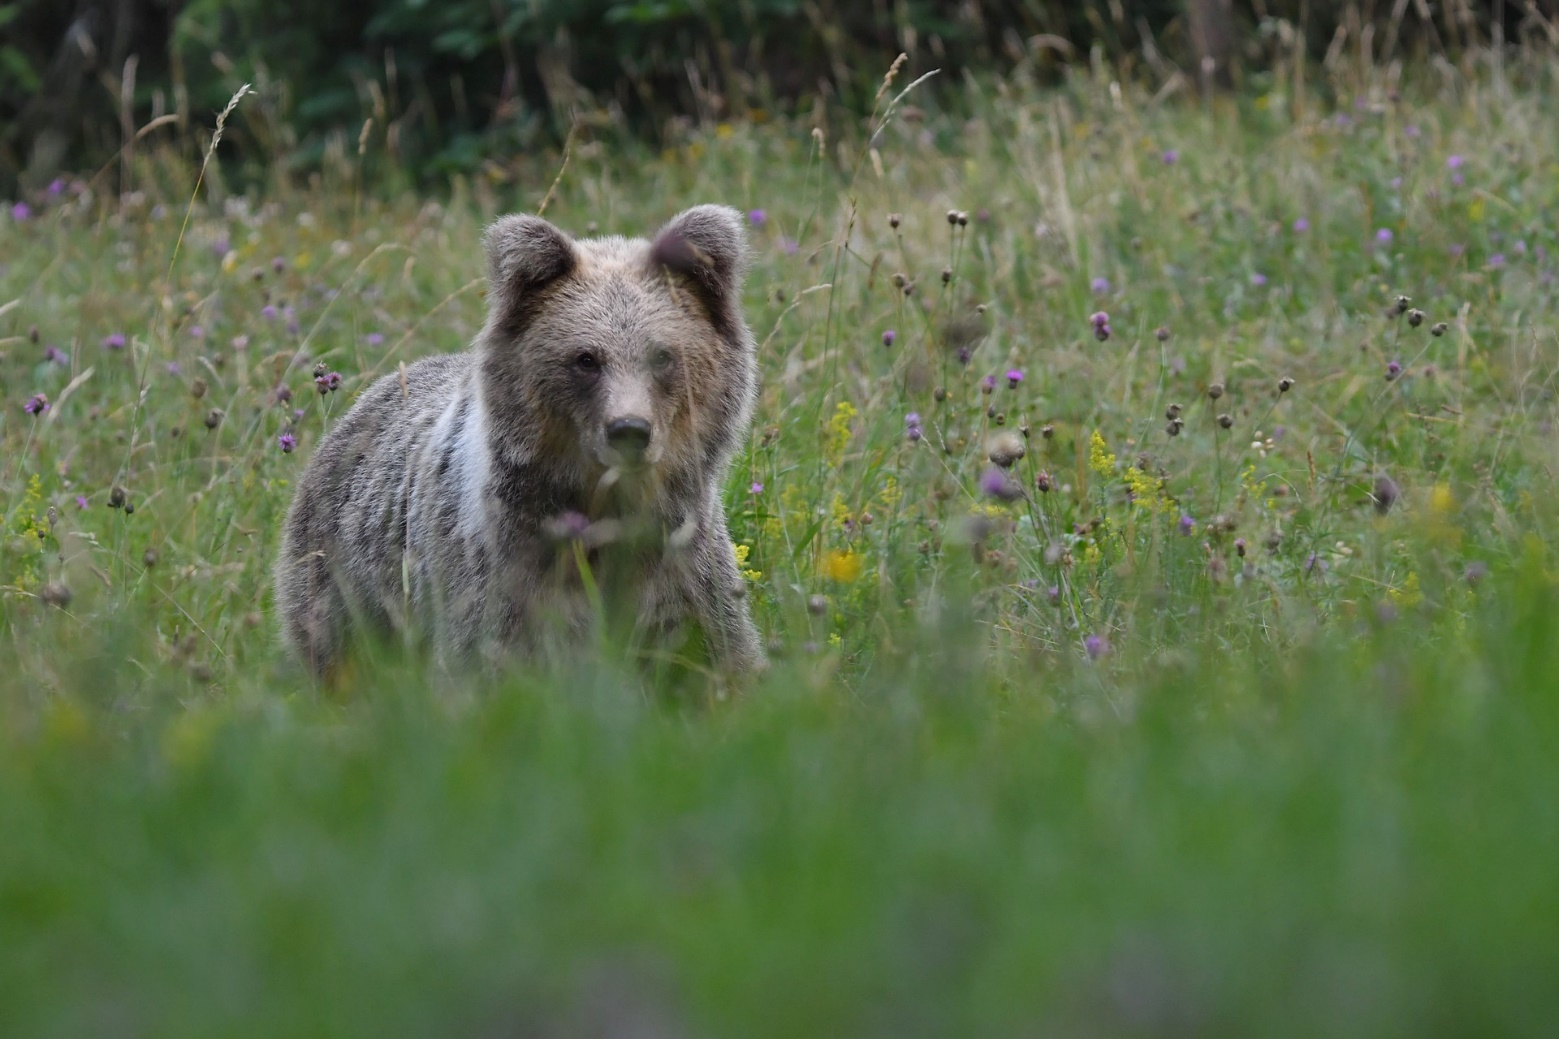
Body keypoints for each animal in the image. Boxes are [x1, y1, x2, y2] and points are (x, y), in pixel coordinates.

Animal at [277, 205, 770, 677]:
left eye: (663, 356)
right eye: (586, 358)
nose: (629, 429)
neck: (603, 509)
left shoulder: (682, 563)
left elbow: (715, 652)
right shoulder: (503, 571)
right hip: (343, 579)